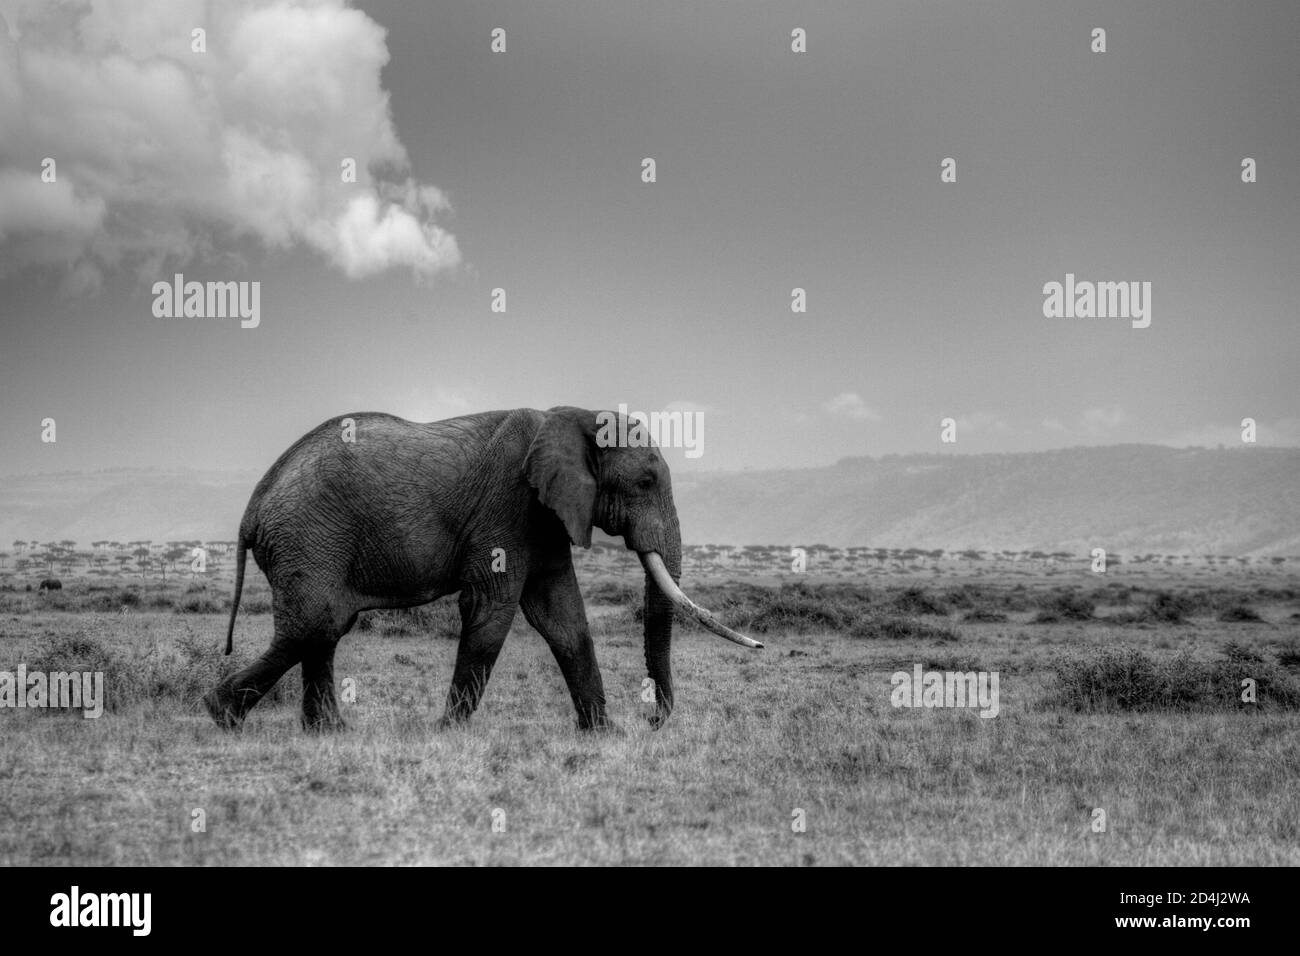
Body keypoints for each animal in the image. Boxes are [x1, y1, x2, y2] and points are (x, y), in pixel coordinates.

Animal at [202, 405, 759, 733]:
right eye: (645, 482)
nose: (653, 721)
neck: (569, 417)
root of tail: (252, 509)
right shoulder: (509, 505)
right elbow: (493, 609)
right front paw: (448, 731)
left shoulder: (545, 514)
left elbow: (562, 617)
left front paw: (603, 734)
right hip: (308, 538)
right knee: (316, 624)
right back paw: (220, 714)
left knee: (325, 630)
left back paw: (327, 733)